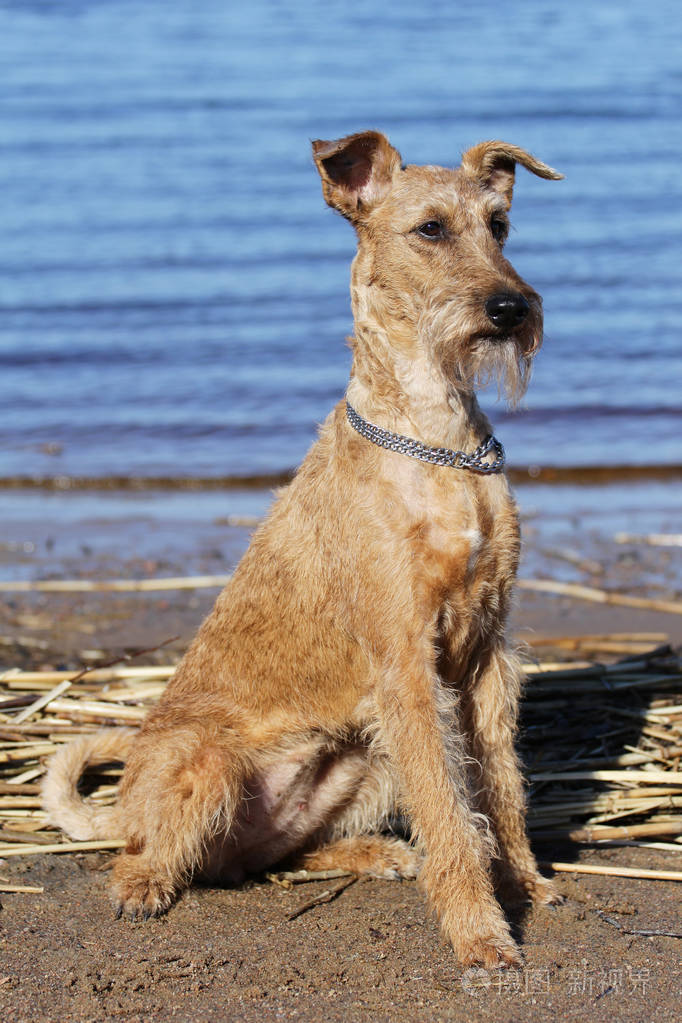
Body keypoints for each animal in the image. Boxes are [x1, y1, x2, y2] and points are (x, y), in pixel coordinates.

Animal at [43, 129, 564, 965]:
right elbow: (452, 810)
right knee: (146, 851)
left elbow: (501, 786)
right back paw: (142, 886)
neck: (436, 438)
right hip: (206, 762)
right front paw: (481, 934)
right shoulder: (407, 665)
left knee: (274, 853)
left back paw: (376, 853)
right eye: (430, 229)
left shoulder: (486, 655)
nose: (511, 308)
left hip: (366, 755)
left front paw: (524, 882)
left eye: (500, 226)